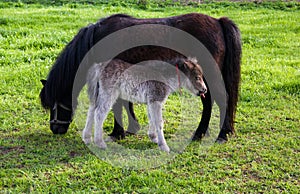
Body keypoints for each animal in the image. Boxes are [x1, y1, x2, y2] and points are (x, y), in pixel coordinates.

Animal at [39, 12, 241, 142]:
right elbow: (125, 102)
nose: (55, 129)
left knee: (221, 100)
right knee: (209, 102)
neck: (97, 39)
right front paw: (130, 128)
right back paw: (201, 134)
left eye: (55, 103)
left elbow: (118, 104)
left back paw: (222, 134)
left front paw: (117, 132)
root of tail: (217, 21)